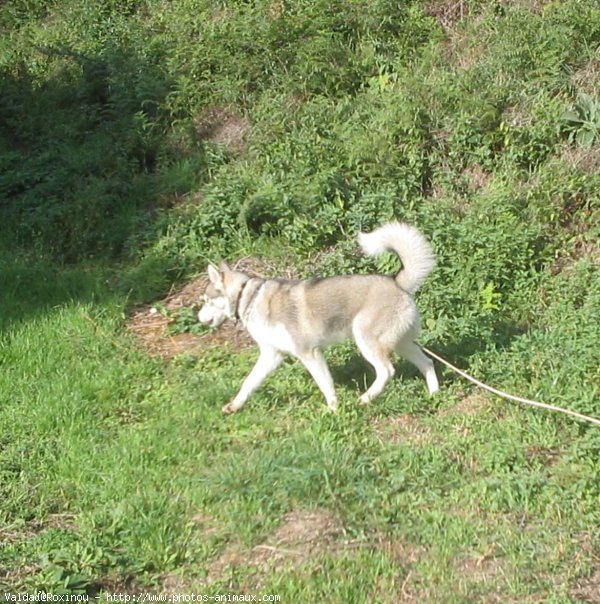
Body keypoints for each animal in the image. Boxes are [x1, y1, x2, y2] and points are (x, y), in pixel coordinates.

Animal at [199, 223, 438, 416]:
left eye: (206, 300)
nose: (198, 317)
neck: (249, 298)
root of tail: (397, 282)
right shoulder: (272, 356)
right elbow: (248, 383)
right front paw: (234, 406)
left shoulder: (310, 353)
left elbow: (326, 385)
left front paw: (333, 410)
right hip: (401, 344)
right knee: (427, 362)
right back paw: (434, 394)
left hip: (366, 340)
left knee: (386, 371)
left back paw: (365, 399)